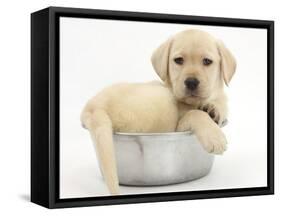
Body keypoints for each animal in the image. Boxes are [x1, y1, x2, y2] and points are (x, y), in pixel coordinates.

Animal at [80, 28, 234, 194]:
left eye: (207, 61)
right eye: (178, 60)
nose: (191, 82)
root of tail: (94, 107)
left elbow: (216, 107)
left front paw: (212, 109)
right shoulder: (178, 126)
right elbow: (195, 114)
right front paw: (214, 137)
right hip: (163, 102)